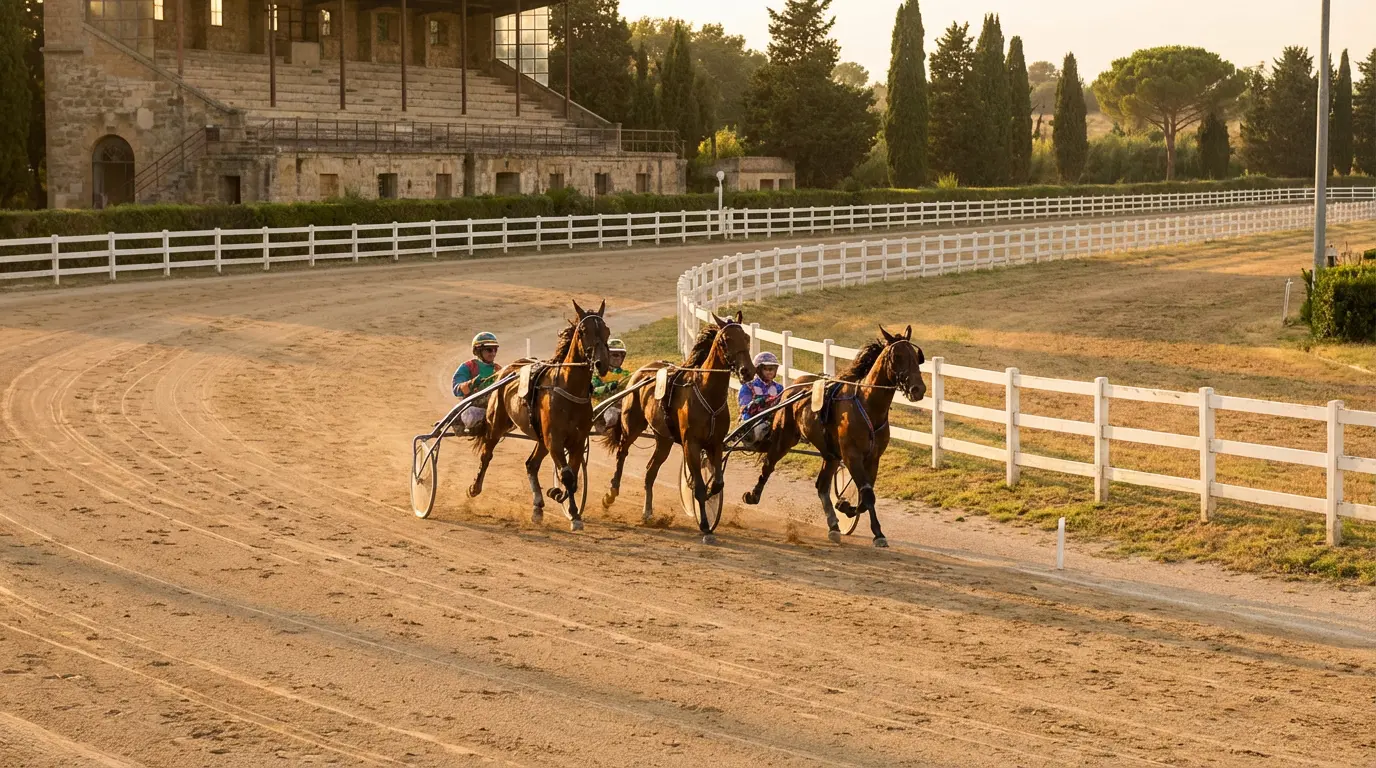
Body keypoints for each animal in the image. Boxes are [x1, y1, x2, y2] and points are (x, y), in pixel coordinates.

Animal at [468, 300, 611, 530]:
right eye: (583, 330)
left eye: (606, 330)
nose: (601, 363)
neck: (569, 389)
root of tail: (509, 368)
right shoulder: (555, 439)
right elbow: (567, 475)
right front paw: (572, 512)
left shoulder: (577, 440)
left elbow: (573, 473)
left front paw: (560, 496)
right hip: (497, 424)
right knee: (487, 453)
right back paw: (475, 487)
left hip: (541, 438)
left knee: (531, 464)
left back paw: (537, 506)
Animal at [601, 312, 755, 543]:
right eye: (726, 340)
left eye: (746, 337)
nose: (748, 371)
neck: (707, 393)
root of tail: (642, 371)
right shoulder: (691, 444)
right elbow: (698, 487)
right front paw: (705, 525)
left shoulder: (716, 443)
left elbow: (717, 483)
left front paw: (710, 494)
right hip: (632, 426)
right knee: (622, 453)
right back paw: (611, 494)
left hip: (663, 440)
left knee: (650, 470)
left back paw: (648, 512)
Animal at [741, 326, 926, 548]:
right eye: (897, 356)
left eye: (916, 356)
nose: (918, 389)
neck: (868, 405)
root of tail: (793, 386)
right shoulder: (851, 455)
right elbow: (867, 495)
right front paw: (876, 531)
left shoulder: (873, 458)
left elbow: (865, 495)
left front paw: (847, 508)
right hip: (784, 438)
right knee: (768, 465)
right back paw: (752, 495)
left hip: (830, 454)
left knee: (821, 485)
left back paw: (834, 525)